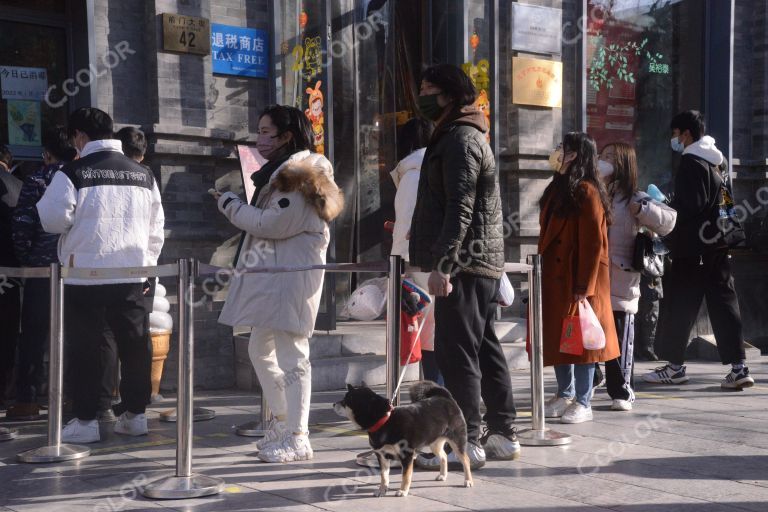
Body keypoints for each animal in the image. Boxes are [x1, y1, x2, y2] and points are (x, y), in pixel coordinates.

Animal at [332, 380, 472, 496]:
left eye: (345, 401)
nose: (333, 404)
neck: (385, 421)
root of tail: (446, 397)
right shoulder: (381, 456)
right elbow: (384, 475)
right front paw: (382, 490)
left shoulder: (407, 455)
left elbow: (406, 476)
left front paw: (403, 490)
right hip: (434, 442)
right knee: (443, 456)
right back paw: (443, 475)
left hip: (457, 441)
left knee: (465, 460)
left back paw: (468, 481)